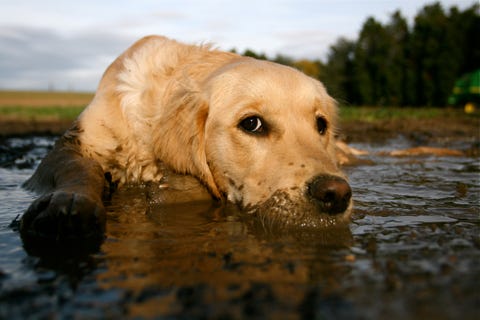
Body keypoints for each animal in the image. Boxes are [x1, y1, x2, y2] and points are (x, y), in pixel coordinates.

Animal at [19, 35, 352, 244]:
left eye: (321, 124)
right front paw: (69, 204)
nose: (335, 194)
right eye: (252, 124)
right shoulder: (71, 146)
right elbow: (82, 168)